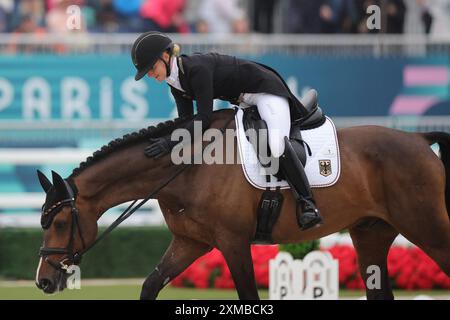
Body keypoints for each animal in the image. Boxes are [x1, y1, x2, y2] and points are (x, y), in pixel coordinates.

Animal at [35, 109, 450, 298]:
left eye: (60, 224)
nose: (43, 280)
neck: (187, 169)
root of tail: (418, 139)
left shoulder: (232, 243)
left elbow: (248, 295)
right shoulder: (190, 242)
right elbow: (151, 285)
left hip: (428, 229)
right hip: (371, 233)